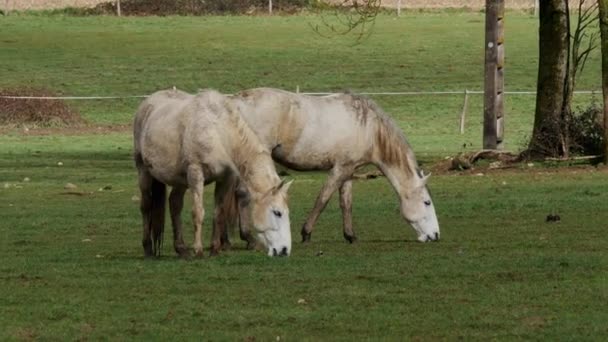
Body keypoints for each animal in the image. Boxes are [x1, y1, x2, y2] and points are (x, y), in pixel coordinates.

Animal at [134, 88, 294, 256]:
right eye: (277, 212)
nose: (284, 250)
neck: (219, 132)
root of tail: (147, 103)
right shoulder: (196, 173)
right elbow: (198, 212)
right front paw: (198, 250)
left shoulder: (225, 178)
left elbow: (218, 213)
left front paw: (215, 248)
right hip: (144, 171)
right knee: (146, 206)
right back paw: (148, 248)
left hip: (181, 180)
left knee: (175, 204)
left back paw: (182, 249)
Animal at [226, 87, 440, 244]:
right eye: (427, 202)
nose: (436, 235)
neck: (369, 128)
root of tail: (235, 102)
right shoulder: (339, 170)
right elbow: (322, 200)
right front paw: (306, 233)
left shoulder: (349, 170)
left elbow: (346, 203)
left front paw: (350, 235)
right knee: (243, 193)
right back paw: (248, 238)